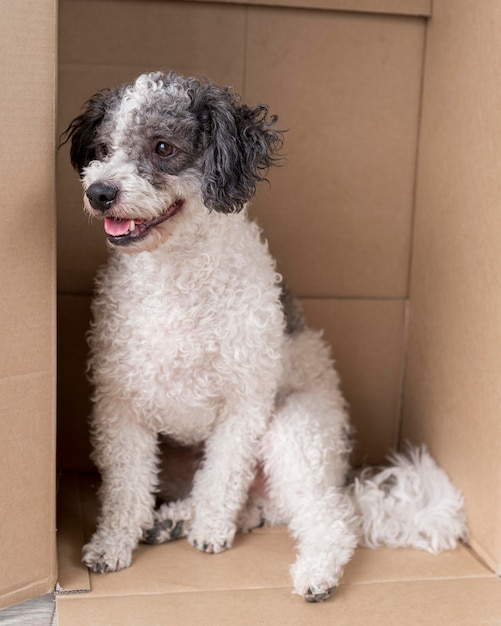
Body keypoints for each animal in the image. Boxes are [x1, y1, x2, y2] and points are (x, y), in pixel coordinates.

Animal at [63, 70, 468, 604]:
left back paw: (314, 571)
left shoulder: (244, 402)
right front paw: (112, 543)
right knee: (249, 508)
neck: (176, 278)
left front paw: (210, 532)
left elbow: (223, 477)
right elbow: (125, 487)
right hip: (179, 461)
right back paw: (172, 520)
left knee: (330, 517)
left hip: (294, 435)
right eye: (102, 148)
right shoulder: (121, 404)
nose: (100, 192)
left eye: (163, 147)